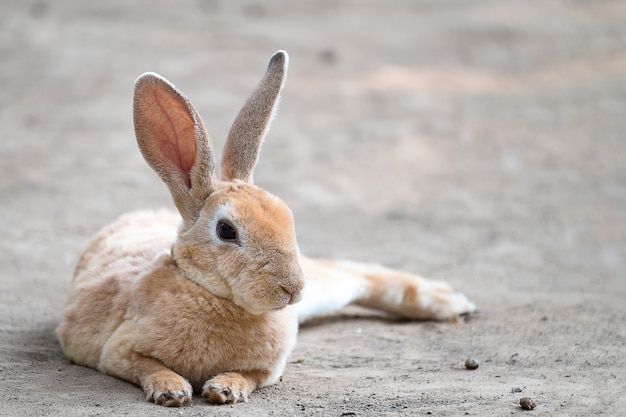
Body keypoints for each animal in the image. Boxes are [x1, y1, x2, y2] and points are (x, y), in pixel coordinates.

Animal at [57, 49, 472, 406]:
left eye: (288, 218)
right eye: (226, 231)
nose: (292, 290)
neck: (209, 292)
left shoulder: (269, 369)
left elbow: (250, 376)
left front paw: (224, 389)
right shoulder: (118, 351)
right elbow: (146, 366)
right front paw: (172, 391)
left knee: (357, 275)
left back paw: (451, 302)